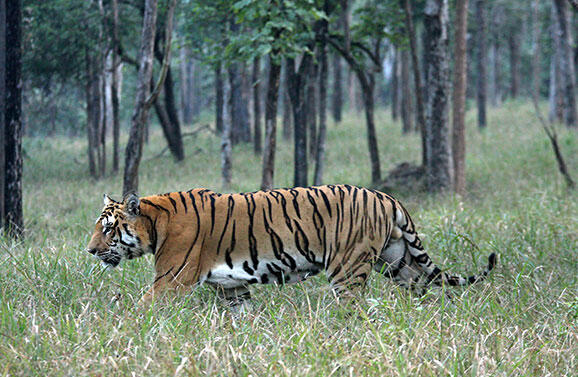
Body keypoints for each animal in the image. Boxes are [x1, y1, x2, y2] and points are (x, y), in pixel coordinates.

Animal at [85, 184, 496, 306]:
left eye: (107, 228)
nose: (88, 251)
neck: (156, 223)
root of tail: (386, 196)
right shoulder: (232, 289)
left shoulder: (170, 281)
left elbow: (140, 310)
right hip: (400, 263)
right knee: (423, 294)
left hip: (348, 270)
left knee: (354, 309)